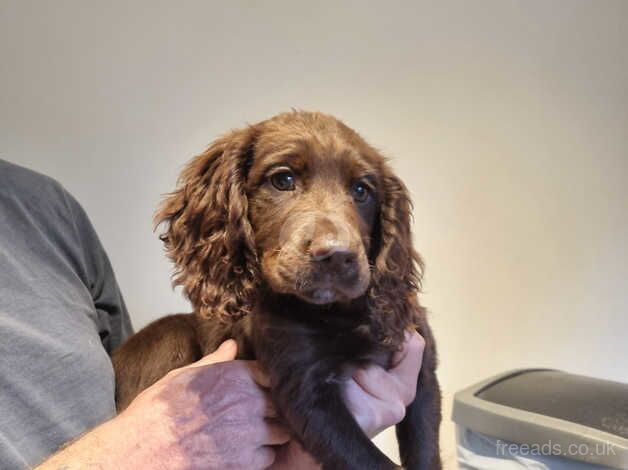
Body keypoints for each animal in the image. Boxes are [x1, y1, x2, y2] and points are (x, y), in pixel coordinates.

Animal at [114, 112, 446, 468]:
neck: (338, 311)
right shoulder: (304, 389)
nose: (337, 255)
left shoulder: (422, 370)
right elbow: (369, 460)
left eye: (361, 190)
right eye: (283, 180)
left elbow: (425, 451)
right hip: (171, 336)